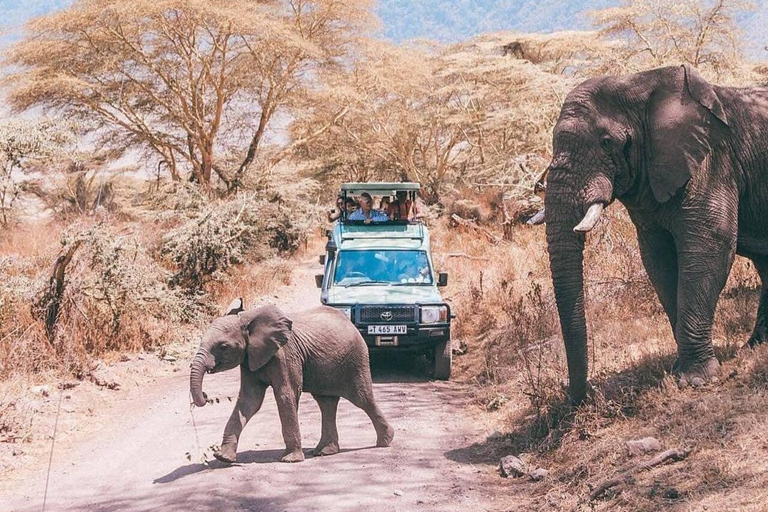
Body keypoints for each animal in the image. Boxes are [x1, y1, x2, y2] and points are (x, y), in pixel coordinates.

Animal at [189, 300, 392, 464]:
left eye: (223, 347)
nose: (205, 396)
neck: (247, 320)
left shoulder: (286, 355)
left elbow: (286, 395)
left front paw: (290, 460)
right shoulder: (249, 359)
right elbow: (249, 400)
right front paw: (223, 457)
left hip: (355, 359)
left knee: (362, 399)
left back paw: (385, 442)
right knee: (326, 403)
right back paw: (325, 451)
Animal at [544, 65, 768, 404]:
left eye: (607, 142)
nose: (585, 396)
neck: (638, 85)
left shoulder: (712, 161)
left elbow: (709, 247)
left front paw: (695, 381)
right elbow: (658, 259)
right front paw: (679, 371)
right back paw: (754, 346)